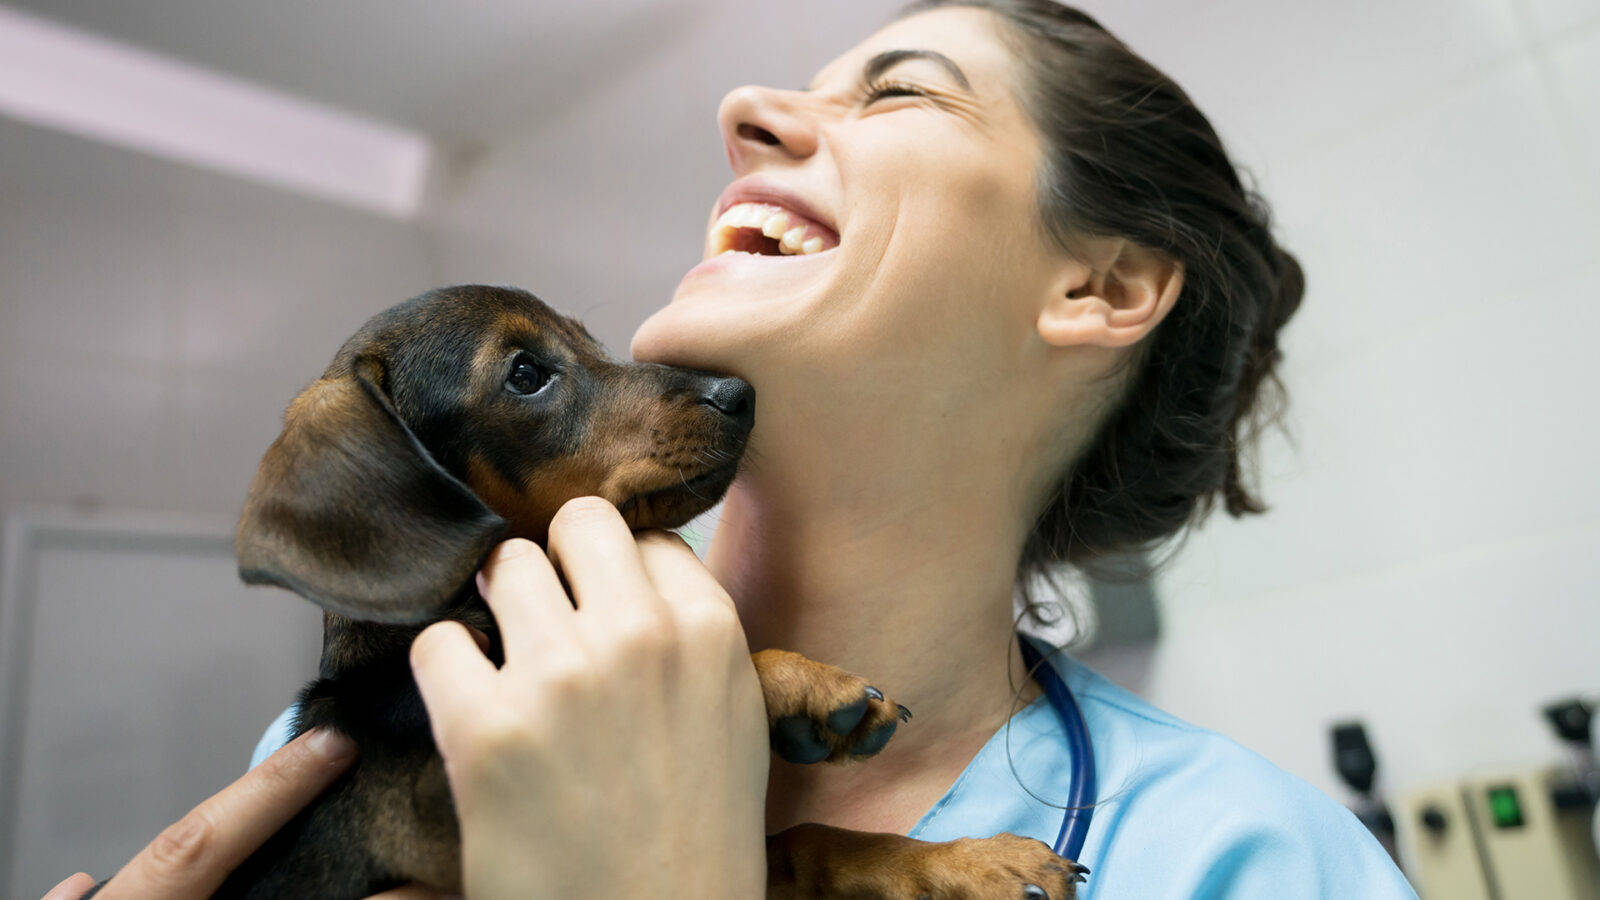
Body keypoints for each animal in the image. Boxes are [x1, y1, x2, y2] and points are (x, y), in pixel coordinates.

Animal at [203, 285, 1075, 896]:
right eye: (526, 374)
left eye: (589, 342)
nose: (739, 393)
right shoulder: (481, 820)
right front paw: (797, 685)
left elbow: (809, 842)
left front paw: (964, 861)